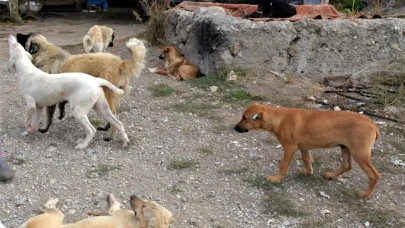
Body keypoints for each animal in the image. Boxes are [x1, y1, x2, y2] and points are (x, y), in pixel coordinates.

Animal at [17, 32, 147, 141]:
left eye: (26, 37)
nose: (17, 34)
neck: (46, 53)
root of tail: (120, 63)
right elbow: (61, 105)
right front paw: (61, 114)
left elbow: (49, 115)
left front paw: (44, 129)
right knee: (112, 116)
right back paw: (106, 128)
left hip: (107, 96)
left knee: (114, 117)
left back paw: (110, 136)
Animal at [232, 104, 380, 198]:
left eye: (245, 118)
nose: (234, 128)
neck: (279, 118)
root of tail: (372, 124)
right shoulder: (303, 148)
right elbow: (307, 159)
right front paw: (309, 171)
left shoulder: (289, 148)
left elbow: (283, 166)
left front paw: (276, 178)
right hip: (345, 148)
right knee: (347, 165)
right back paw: (331, 175)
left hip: (359, 153)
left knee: (374, 175)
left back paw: (366, 194)